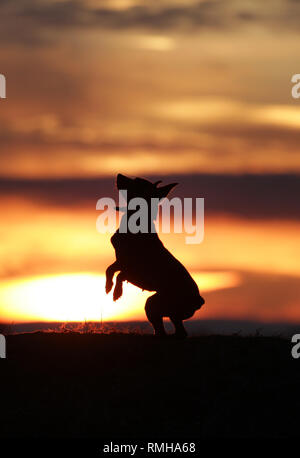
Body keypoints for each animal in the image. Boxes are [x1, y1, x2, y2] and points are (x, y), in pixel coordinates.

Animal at [104, 174, 205, 338]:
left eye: (137, 182)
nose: (119, 174)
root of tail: (199, 301)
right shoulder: (121, 260)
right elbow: (110, 269)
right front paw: (108, 286)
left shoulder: (134, 268)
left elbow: (121, 274)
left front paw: (117, 292)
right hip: (154, 305)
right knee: (168, 328)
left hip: (160, 304)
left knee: (173, 329)